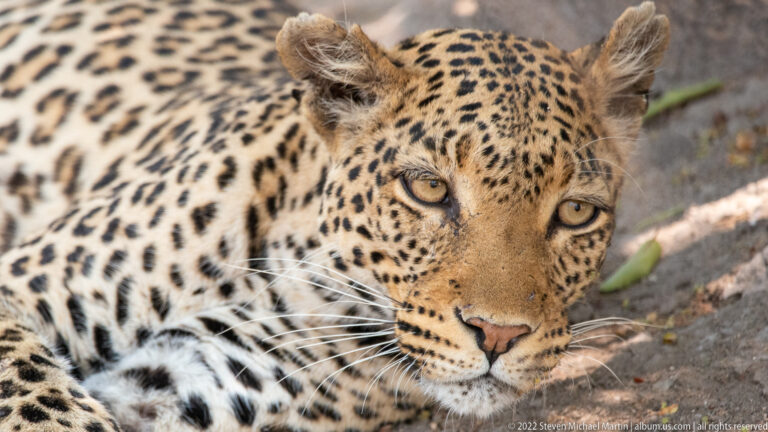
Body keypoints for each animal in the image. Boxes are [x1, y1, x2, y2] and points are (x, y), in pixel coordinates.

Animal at [0, 0, 670, 430]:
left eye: (575, 212)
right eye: (429, 188)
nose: (498, 335)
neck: (300, 277)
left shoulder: (174, 385)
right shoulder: (22, 284)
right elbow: (34, 388)